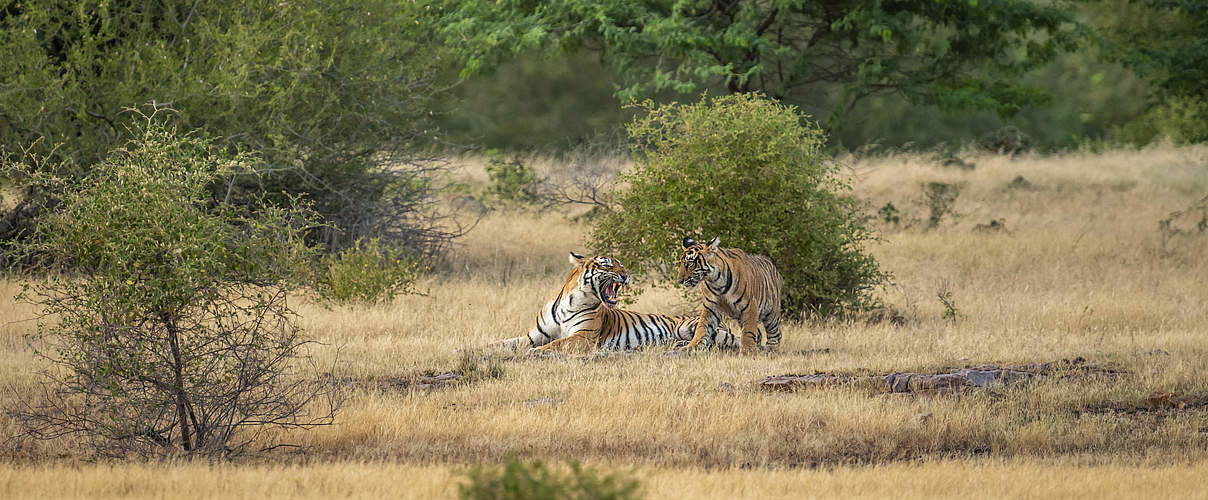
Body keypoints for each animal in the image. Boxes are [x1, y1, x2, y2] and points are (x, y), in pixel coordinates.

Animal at [495, 252, 739, 352]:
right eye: (607, 264)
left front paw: (535, 352)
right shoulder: (532, 335)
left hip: (692, 327)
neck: (571, 302)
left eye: (621, 265)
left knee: (719, 341)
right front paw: (486, 347)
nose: (626, 275)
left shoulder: (583, 336)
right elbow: (503, 343)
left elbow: (555, 344)